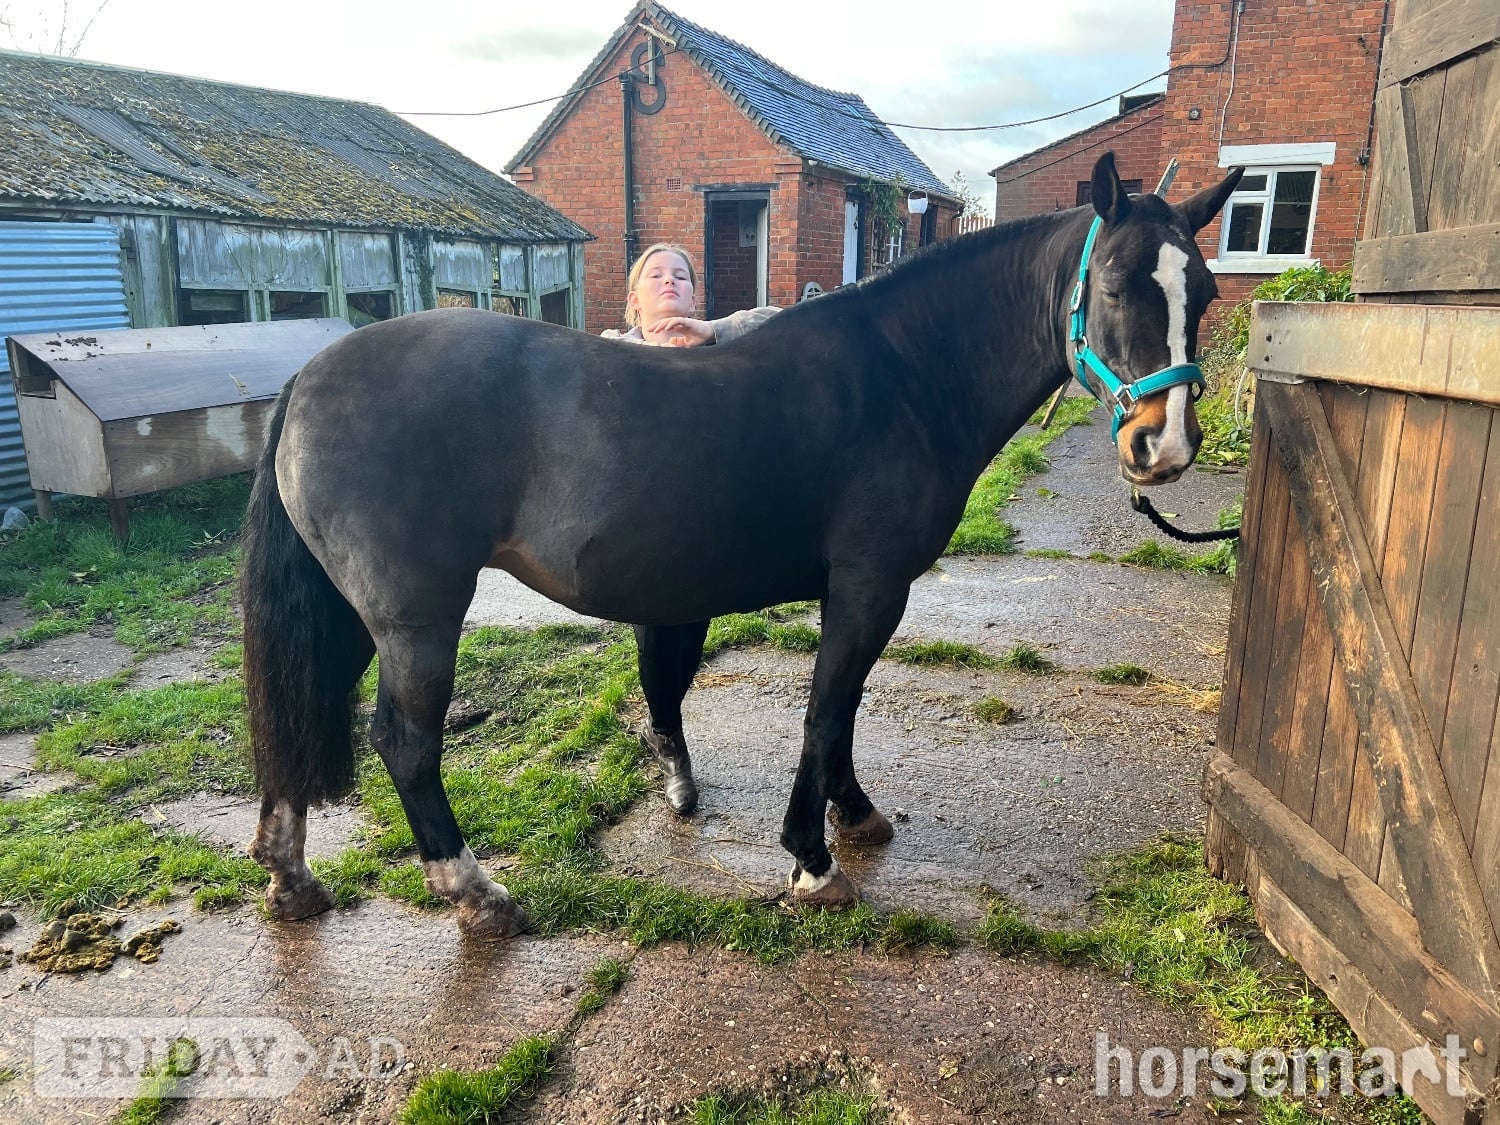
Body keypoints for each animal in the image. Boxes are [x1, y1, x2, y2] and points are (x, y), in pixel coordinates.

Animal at [242, 153, 1242, 940]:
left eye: (1203, 290)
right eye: (1112, 285)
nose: (1165, 445)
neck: (904, 374)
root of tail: (312, 372)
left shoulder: (859, 589)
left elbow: (845, 707)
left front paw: (853, 813)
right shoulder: (871, 584)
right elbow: (826, 709)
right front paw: (813, 861)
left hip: (350, 616)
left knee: (298, 724)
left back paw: (292, 877)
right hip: (416, 620)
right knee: (406, 744)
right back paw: (477, 895)